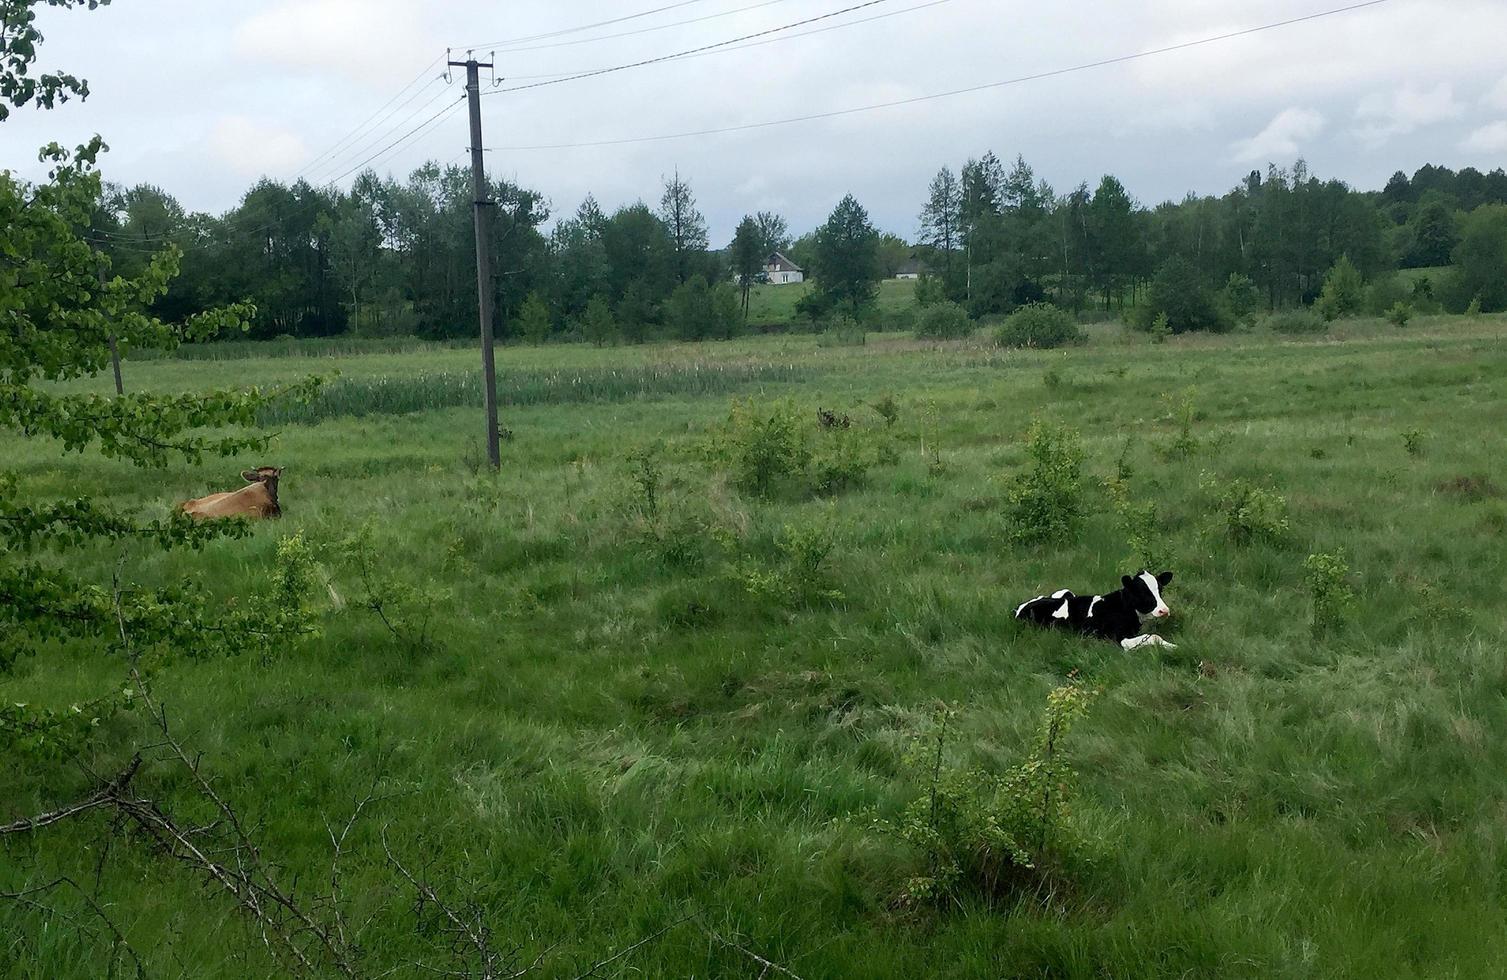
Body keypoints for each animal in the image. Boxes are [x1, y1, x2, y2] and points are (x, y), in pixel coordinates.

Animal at [1012, 563, 1175, 648]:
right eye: (1141, 592)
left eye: (1160, 589)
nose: (1164, 610)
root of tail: (1020, 607)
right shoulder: (1117, 637)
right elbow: (1153, 636)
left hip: (1066, 591)